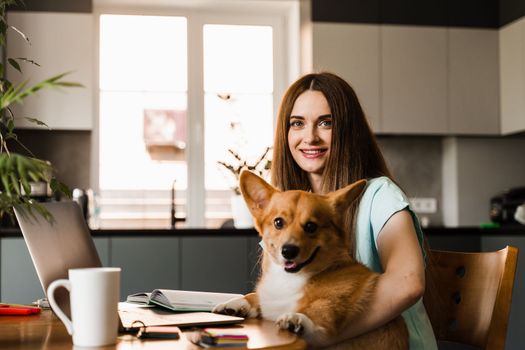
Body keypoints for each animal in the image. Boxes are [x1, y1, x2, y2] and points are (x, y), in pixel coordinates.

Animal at [213, 171, 410, 348]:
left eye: (311, 226)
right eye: (278, 222)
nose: (289, 251)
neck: (290, 278)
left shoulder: (336, 299)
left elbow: (321, 308)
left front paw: (298, 319)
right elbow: (254, 296)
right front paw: (236, 303)